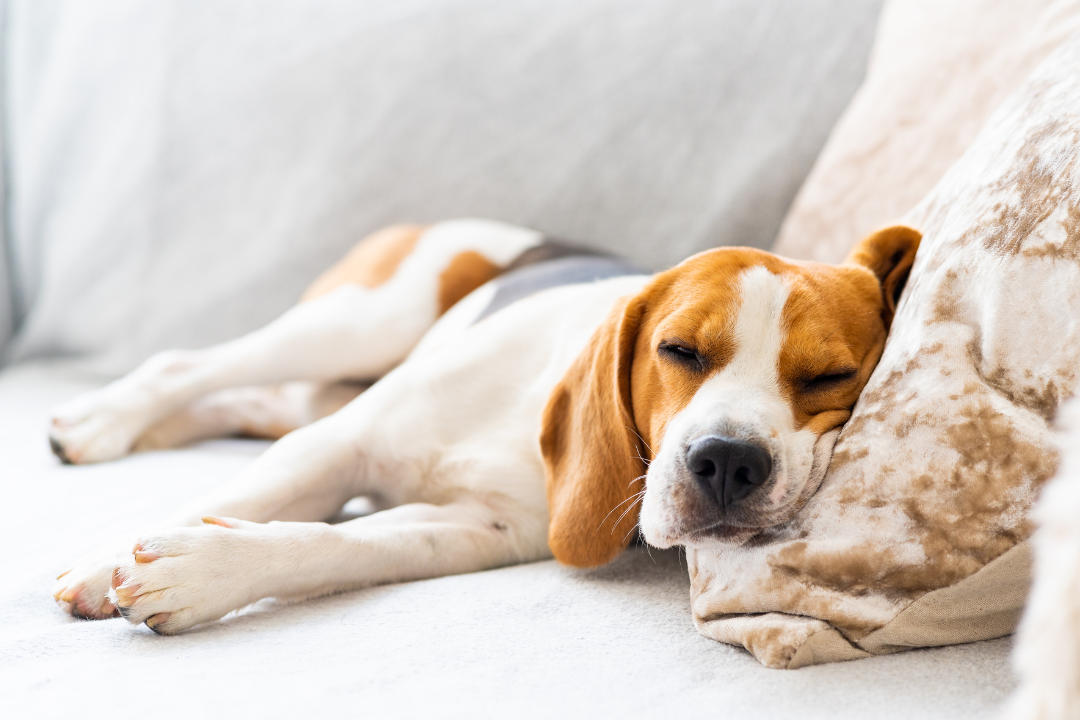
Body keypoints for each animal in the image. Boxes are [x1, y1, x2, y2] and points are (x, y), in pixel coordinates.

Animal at [46, 216, 915, 634]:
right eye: (679, 350)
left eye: (831, 378)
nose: (729, 462)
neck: (529, 420)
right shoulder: (335, 445)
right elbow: (238, 499)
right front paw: (102, 563)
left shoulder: (480, 529)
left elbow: (337, 541)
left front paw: (206, 570)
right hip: (363, 321)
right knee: (185, 366)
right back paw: (100, 421)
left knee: (239, 401)